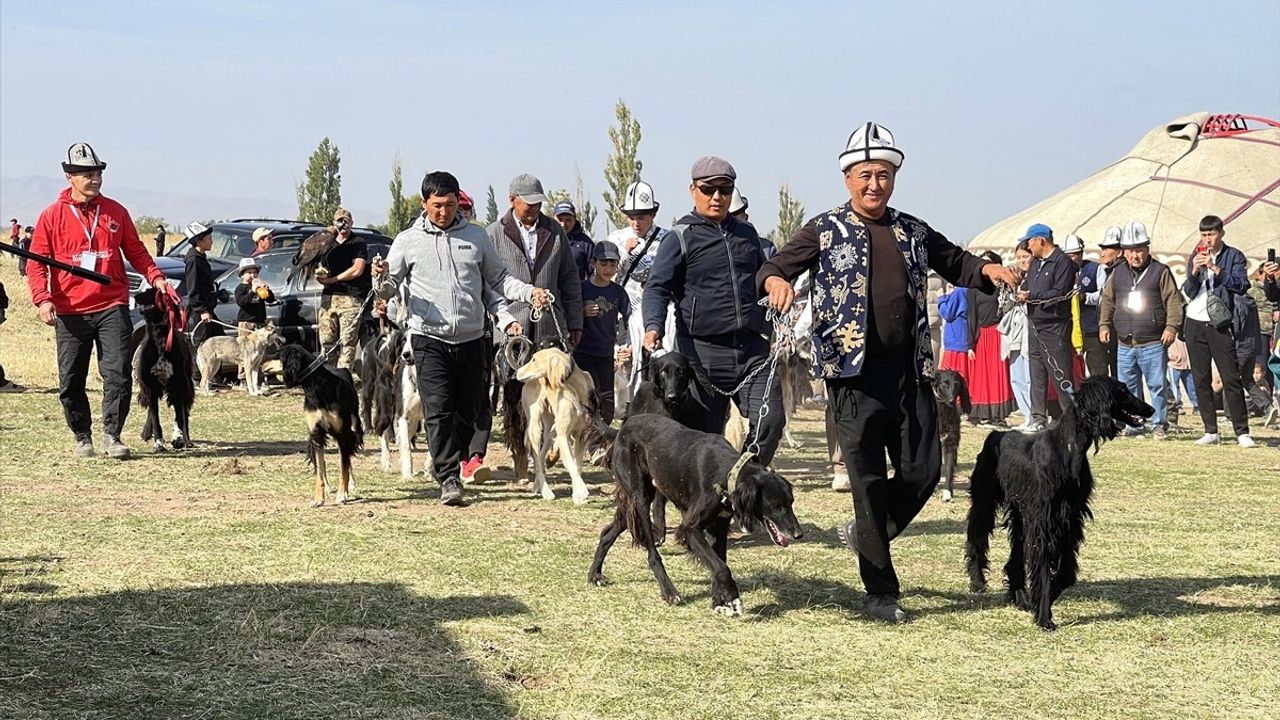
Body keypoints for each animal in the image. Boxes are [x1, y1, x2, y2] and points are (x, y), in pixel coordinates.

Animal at [134, 285, 197, 448]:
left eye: (150, 291)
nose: (135, 296)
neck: (160, 336)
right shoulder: (149, 385)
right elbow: (154, 416)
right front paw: (158, 442)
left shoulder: (178, 383)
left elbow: (179, 416)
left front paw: (179, 437)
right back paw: (147, 433)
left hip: (187, 383)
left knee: (184, 411)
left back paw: (187, 439)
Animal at [277, 340, 363, 504]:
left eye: (277, 356)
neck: (315, 388)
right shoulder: (316, 433)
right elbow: (320, 470)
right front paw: (318, 498)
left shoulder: (343, 433)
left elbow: (344, 466)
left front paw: (342, 494)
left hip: (353, 425)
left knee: (348, 458)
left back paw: (350, 486)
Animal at [586, 412, 798, 614]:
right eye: (776, 506)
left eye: (791, 502)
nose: (798, 534)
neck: (727, 472)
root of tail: (622, 428)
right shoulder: (690, 529)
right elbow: (721, 567)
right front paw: (733, 598)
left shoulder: (719, 526)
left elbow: (718, 562)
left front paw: (718, 602)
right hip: (640, 497)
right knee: (652, 554)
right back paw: (669, 592)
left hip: (637, 499)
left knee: (607, 532)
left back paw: (594, 575)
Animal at [962, 376, 1157, 627]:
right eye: (1122, 391)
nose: (1150, 409)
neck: (1069, 447)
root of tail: (995, 434)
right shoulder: (1044, 518)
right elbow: (1044, 567)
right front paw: (1044, 616)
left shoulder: (1071, 516)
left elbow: (1066, 573)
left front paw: (1045, 598)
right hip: (985, 501)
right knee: (976, 537)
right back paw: (977, 581)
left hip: (1020, 512)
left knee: (1015, 556)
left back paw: (1021, 597)